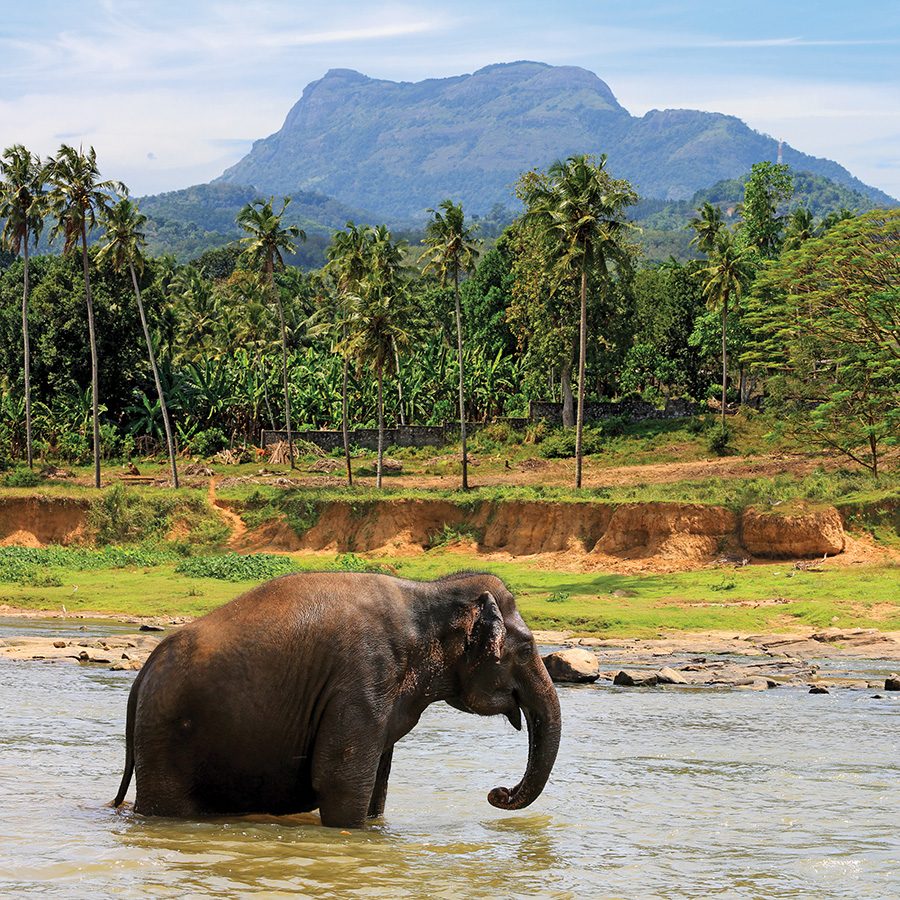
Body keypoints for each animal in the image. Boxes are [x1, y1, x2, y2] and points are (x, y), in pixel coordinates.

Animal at [110, 568, 564, 828]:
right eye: (526, 648)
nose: (498, 793)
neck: (429, 595)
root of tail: (144, 672)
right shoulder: (363, 676)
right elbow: (341, 780)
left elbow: (376, 783)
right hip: (166, 739)